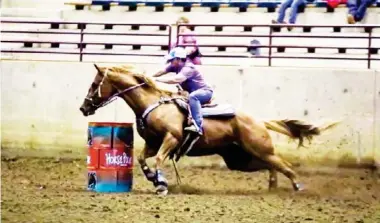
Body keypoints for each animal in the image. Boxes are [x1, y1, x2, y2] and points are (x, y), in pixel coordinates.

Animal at [79, 63, 338, 194]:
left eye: (94, 83)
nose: (84, 108)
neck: (153, 103)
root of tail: (258, 120)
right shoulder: (153, 143)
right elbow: (143, 160)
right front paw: (153, 178)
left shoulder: (171, 139)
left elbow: (160, 159)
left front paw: (161, 184)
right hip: (240, 158)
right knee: (272, 166)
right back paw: (272, 188)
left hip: (259, 148)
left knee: (285, 165)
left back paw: (296, 187)